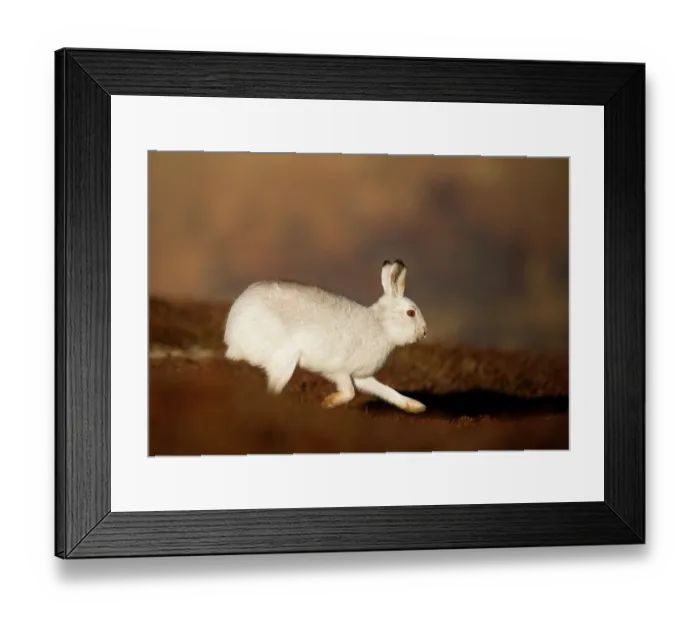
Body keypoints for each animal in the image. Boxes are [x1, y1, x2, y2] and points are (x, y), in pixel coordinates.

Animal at [223, 259, 428, 413]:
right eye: (411, 313)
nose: (424, 332)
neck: (381, 326)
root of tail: (233, 334)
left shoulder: (360, 376)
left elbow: (386, 391)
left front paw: (417, 407)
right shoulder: (339, 370)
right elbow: (349, 393)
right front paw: (327, 403)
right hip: (284, 360)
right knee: (272, 389)